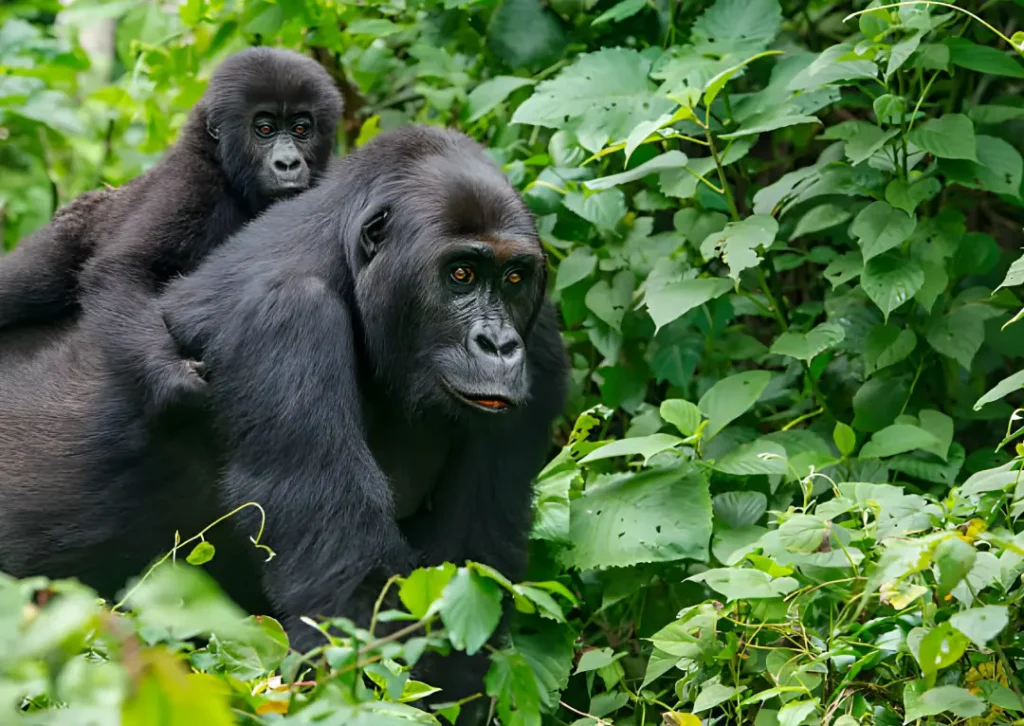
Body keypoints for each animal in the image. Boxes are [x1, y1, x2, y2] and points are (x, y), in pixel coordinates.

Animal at [0, 46, 344, 413]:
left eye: (301, 129)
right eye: (264, 129)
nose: (288, 164)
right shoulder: (190, 182)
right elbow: (123, 268)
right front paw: (170, 373)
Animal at [0, 124, 569, 708]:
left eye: (514, 278)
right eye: (461, 274)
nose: (498, 345)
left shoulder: (542, 341)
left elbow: (472, 577)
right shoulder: (285, 317)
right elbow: (348, 597)